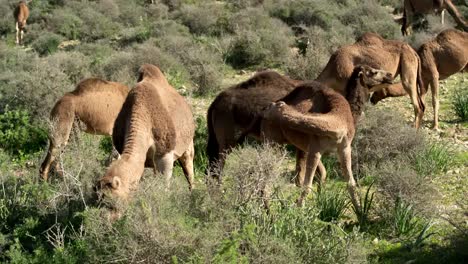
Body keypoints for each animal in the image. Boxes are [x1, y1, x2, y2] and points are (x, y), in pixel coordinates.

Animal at [98, 64, 195, 202]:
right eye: (99, 197)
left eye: (113, 198)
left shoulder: (165, 155)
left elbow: (164, 187)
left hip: (188, 145)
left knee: (189, 169)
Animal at [260, 65, 394, 210]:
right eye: (373, 72)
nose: (390, 75)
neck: (340, 118)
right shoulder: (315, 149)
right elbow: (308, 185)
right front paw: (299, 210)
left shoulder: (344, 148)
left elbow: (348, 183)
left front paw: (360, 212)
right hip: (272, 141)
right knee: (267, 173)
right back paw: (267, 209)